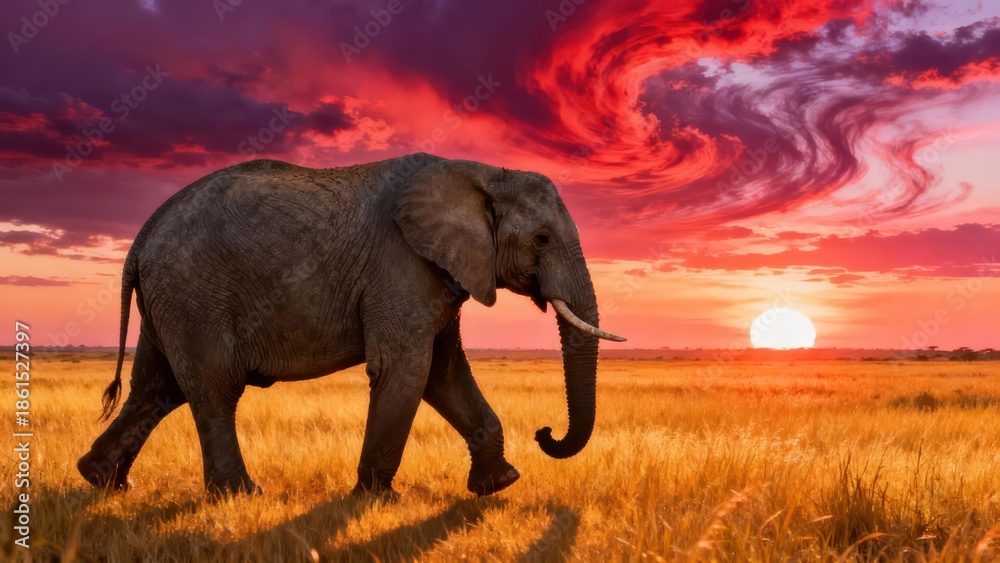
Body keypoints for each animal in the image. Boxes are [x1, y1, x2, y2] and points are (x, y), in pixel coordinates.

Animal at [77, 153, 625, 497]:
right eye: (542, 239)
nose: (545, 432)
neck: (485, 173)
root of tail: (143, 235)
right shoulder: (400, 264)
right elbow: (407, 369)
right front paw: (375, 499)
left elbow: (444, 375)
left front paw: (499, 484)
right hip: (195, 293)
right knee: (215, 388)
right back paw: (241, 495)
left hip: (171, 300)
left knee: (158, 387)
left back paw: (102, 482)